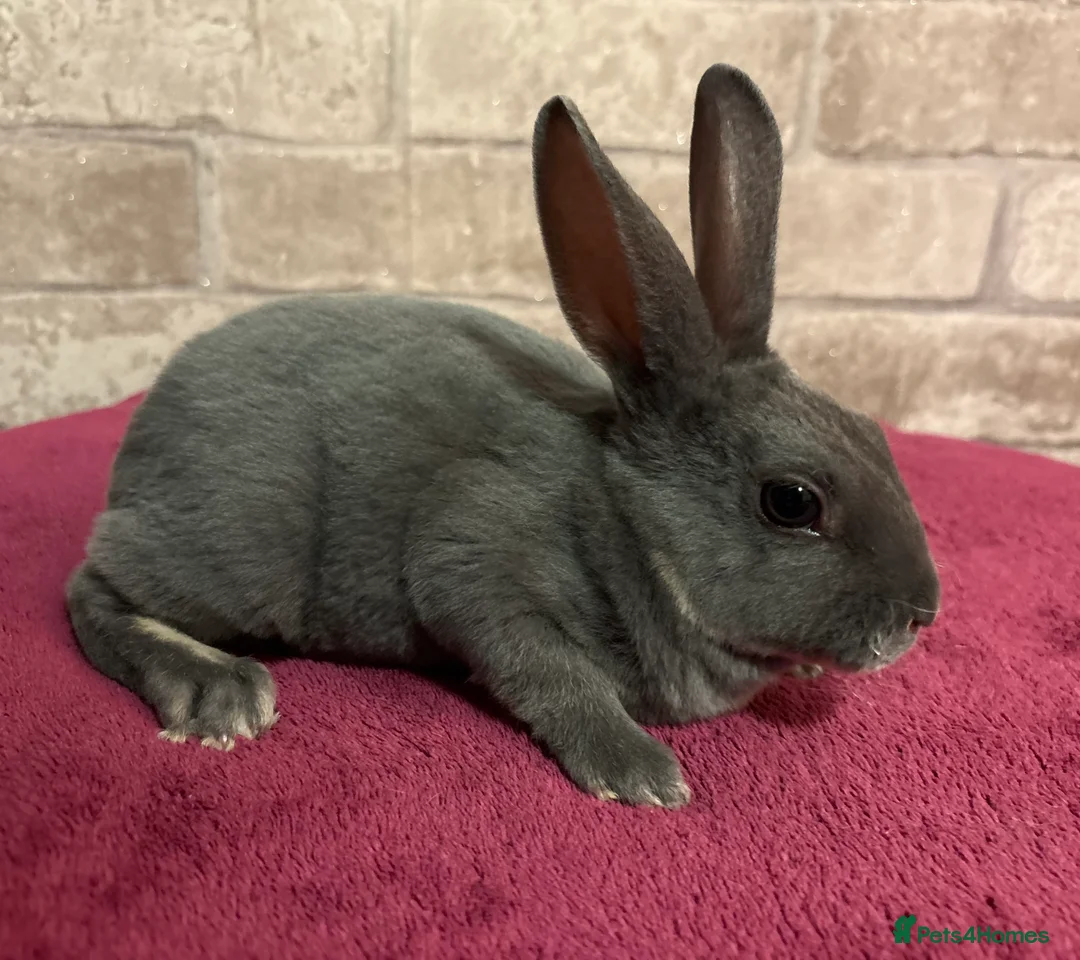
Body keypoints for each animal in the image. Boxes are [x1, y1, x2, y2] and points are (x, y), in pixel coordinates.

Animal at [66, 63, 940, 809]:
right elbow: (552, 673)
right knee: (93, 589)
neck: (624, 517)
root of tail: (144, 433)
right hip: (238, 549)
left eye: (873, 433)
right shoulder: (475, 560)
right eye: (792, 501)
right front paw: (639, 774)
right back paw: (219, 694)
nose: (921, 615)